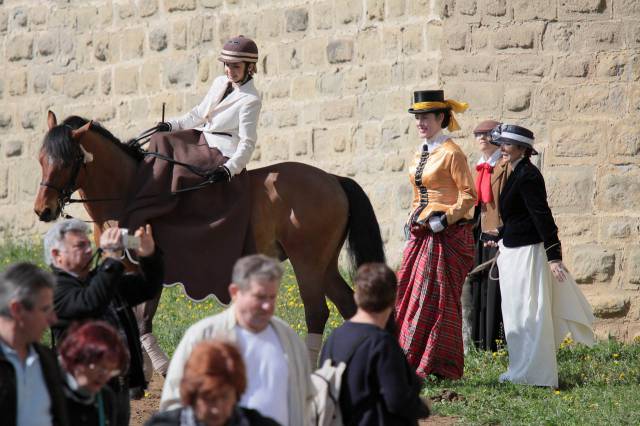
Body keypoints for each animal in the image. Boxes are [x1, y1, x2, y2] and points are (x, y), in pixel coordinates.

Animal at [33, 111, 384, 344]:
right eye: (40, 158)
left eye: (67, 161)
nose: (43, 210)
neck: (129, 191)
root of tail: (334, 179)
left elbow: (142, 320)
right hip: (324, 263)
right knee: (347, 304)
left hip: (307, 261)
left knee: (316, 312)